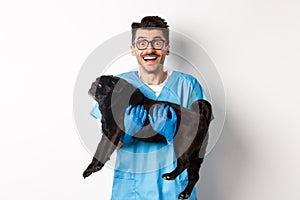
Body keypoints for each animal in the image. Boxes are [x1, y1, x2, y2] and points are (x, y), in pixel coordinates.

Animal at [83, 74, 212, 198]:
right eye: (95, 82)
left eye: (100, 85)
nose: (92, 85)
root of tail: (202, 117)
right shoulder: (106, 134)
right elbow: (99, 151)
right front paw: (90, 168)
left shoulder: (112, 133)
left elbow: (104, 150)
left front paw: (95, 167)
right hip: (197, 155)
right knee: (194, 176)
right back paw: (185, 193)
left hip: (182, 146)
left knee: (184, 163)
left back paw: (170, 176)